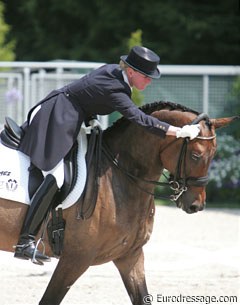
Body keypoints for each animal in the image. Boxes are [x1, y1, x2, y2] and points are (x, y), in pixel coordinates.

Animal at [0, 101, 237, 302]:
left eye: (214, 154)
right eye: (196, 155)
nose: (196, 205)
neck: (119, 175)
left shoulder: (130, 256)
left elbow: (142, 296)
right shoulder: (75, 259)